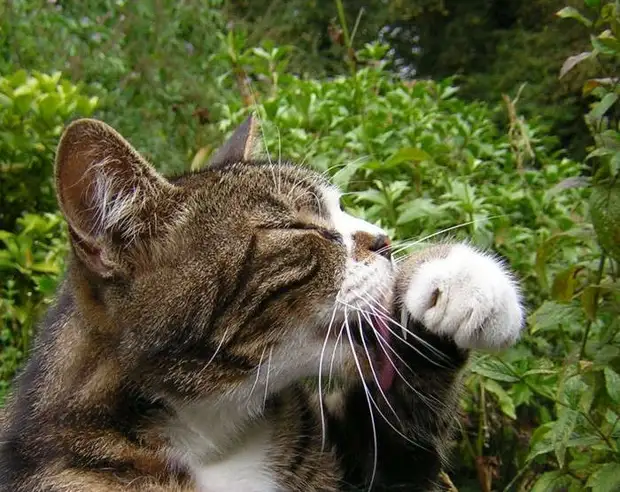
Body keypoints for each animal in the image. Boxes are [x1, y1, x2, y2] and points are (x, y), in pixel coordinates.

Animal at [0, 116, 524, 492]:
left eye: (341, 209)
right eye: (298, 227)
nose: (384, 240)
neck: (208, 440)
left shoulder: (363, 462)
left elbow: (400, 433)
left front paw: (464, 280)